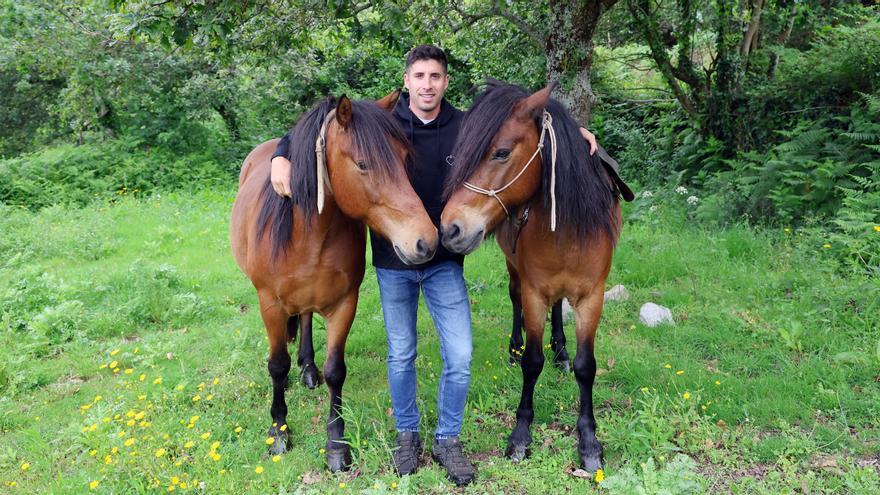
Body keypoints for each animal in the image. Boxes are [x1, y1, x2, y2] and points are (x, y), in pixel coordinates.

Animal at [229, 92, 438, 472]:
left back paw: (309, 369)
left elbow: (335, 371)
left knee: (307, 318)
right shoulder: (270, 305)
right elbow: (277, 366)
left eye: (405, 159)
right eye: (362, 163)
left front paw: (337, 446)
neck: (307, 234)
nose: (425, 241)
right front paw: (279, 432)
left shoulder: (344, 303)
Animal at [440, 81, 632, 472]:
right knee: (514, 299)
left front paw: (589, 441)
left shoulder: (592, 297)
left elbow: (586, 367)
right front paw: (520, 435)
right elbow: (531, 363)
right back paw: (514, 348)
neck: (569, 231)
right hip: (514, 270)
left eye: (501, 152)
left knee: (558, 309)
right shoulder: (533, 292)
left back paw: (560, 349)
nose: (450, 228)